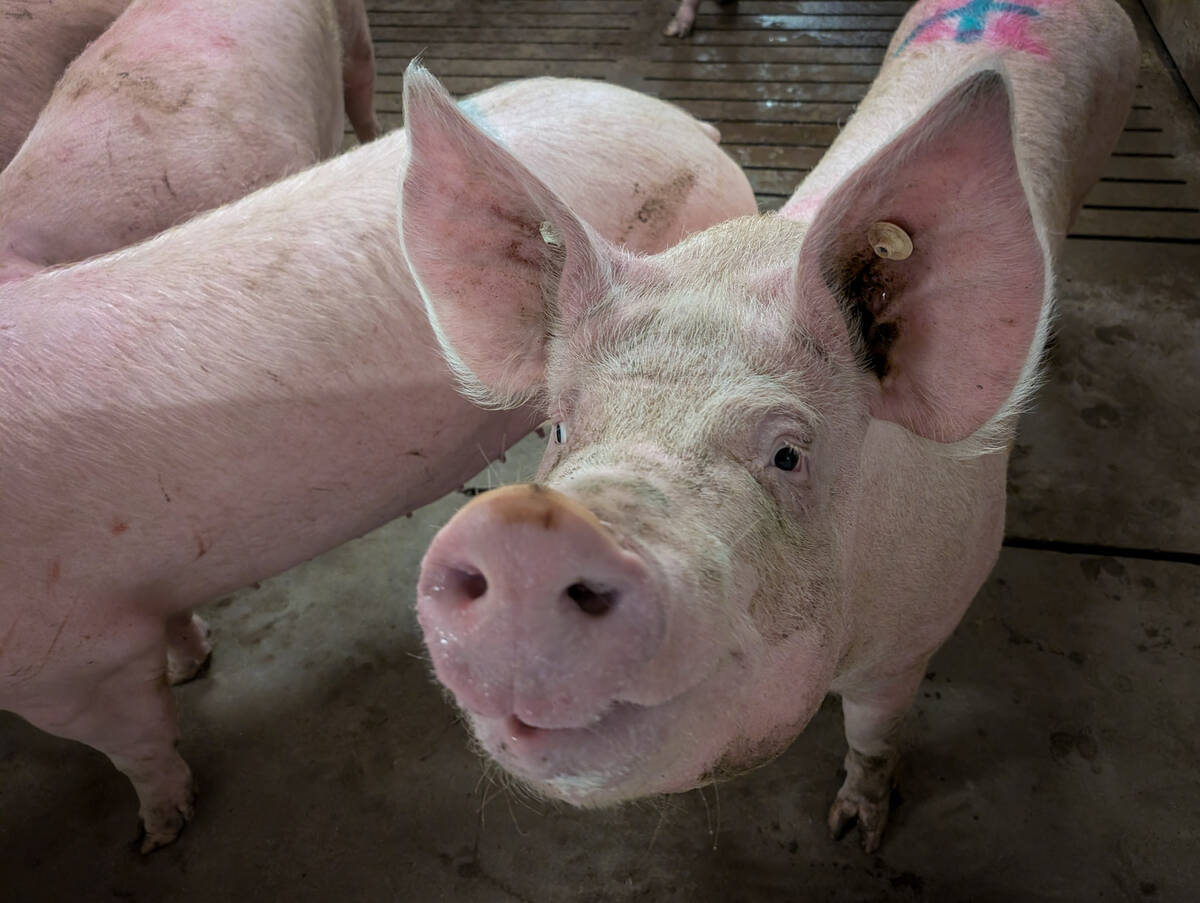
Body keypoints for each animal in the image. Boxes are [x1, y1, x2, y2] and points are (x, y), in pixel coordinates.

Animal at [406, 0, 1139, 852]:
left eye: (788, 453)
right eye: (558, 428)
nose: (526, 532)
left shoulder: (916, 635)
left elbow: (874, 731)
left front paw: (854, 832)